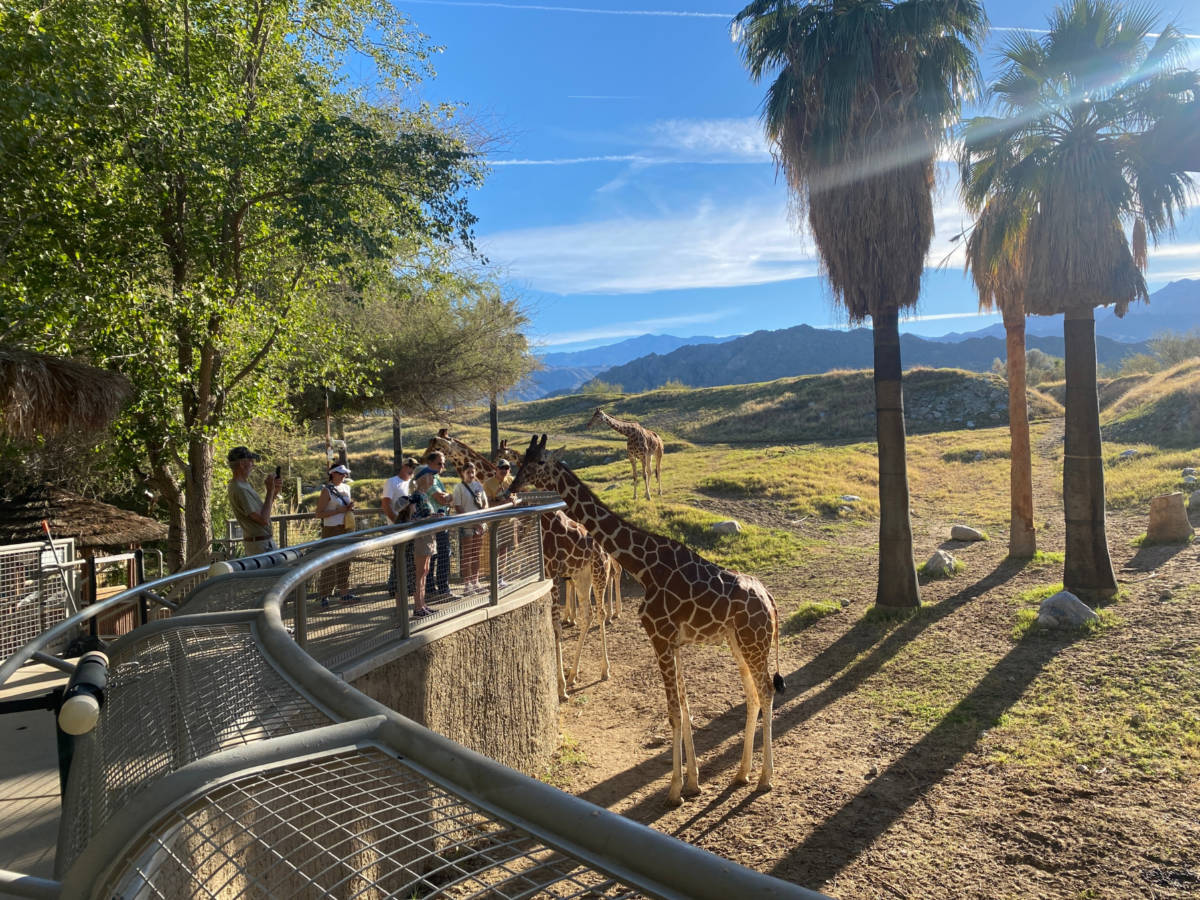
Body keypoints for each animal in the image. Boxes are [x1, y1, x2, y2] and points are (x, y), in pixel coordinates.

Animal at [507, 434, 785, 806]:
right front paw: (693, 782)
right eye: (522, 458)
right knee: (753, 694)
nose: (513, 486)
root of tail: (770, 601)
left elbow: (673, 712)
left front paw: (675, 791)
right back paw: (741, 774)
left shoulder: (660, 637)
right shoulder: (674, 642)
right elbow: (684, 707)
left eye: (538, 462)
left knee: (767, 691)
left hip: (755, 643)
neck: (643, 565)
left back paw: (765, 779)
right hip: (738, 642)